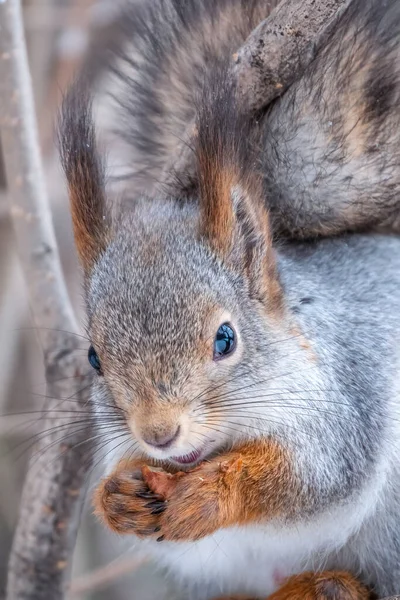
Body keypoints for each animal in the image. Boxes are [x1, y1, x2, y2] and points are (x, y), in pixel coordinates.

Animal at [58, 1, 400, 600]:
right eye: (94, 358)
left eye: (226, 339)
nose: (160, 435)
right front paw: (116, 496)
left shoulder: (345, 408)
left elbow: (306, 477)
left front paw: (211, 494)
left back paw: (327, 583)